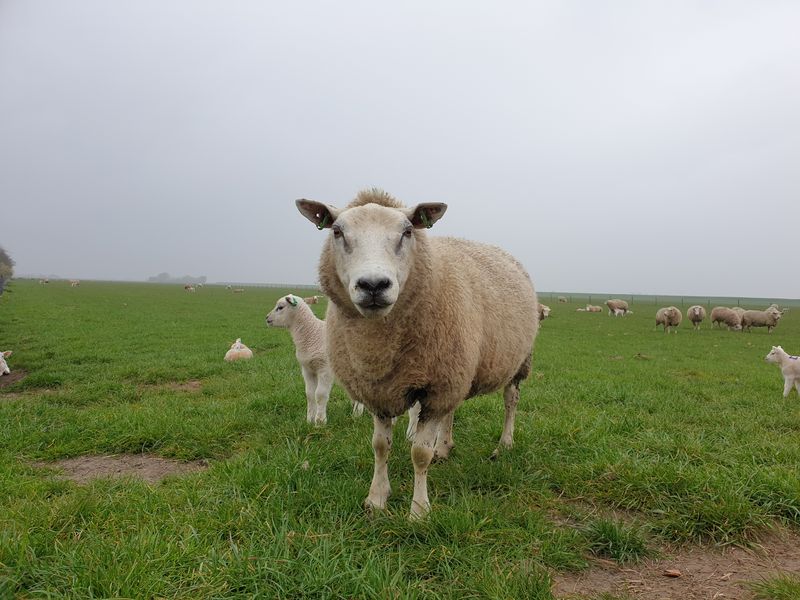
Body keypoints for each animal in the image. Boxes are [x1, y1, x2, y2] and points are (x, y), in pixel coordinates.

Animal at [266, 294, 364, 424]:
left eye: (280, 307)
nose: (267, 318)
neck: (311, 333)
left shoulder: (325, 369)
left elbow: (320, 394)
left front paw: (320, 421)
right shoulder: (307, 369)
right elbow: (310, 394)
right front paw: (310, 419)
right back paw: (357, 413)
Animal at [297, 189, 538, 519]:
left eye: (407, 232)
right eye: (337, 231)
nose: (374, 285)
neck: (379, 347)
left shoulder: (434, 389)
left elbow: (419, 453)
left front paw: (419, 511)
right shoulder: (380, 390)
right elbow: (379, 446)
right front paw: (376, 499)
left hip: (516, 361)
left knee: (510, 401)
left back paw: (505, 443)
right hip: (457, 368)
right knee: (453, 409)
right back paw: (445, 447)